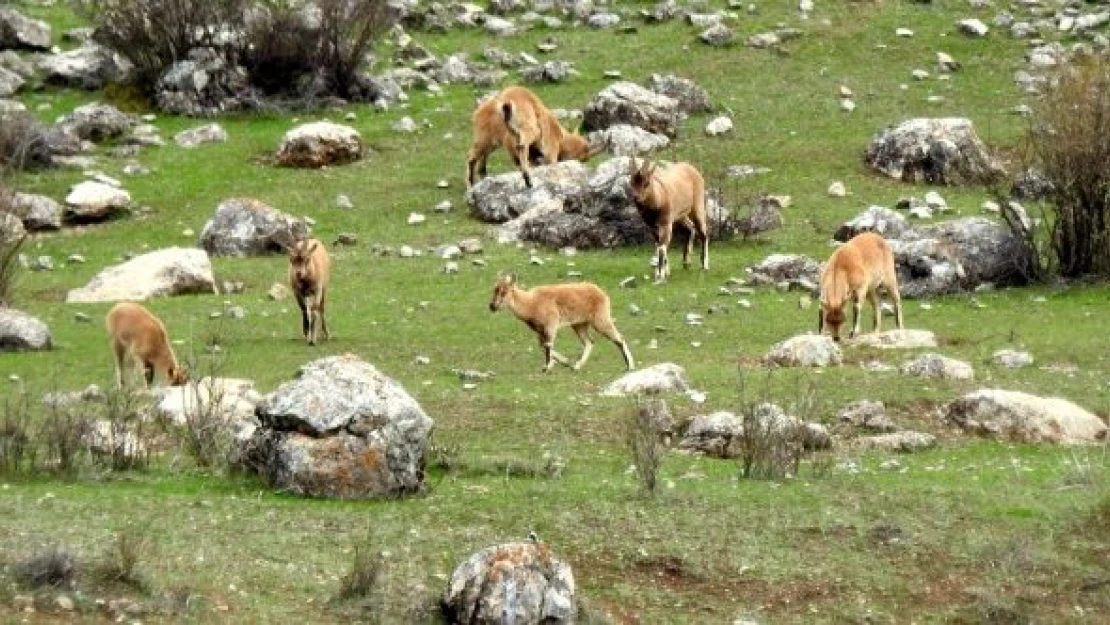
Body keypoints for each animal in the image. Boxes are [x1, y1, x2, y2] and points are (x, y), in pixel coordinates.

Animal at [463, 84, 599, 190]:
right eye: (583, 158)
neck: (561, 138)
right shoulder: (550, 151)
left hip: (490, 140)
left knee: (478, 156)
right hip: (526, 128)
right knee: (519, 146)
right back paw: (527, 179)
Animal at [492, 274, 639, 370]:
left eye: (504, 292)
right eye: (494, 290)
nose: (492, 306)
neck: (531, 303)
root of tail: (601, 293)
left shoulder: (551, 324)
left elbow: (548, 344)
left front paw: (547, 366)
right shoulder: (540, 330)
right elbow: (542, 345)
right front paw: (564, 362)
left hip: (601, 319)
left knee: (619, 338)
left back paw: (630, 366)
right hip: (579, 324)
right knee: (589, 342)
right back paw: (577, 365)